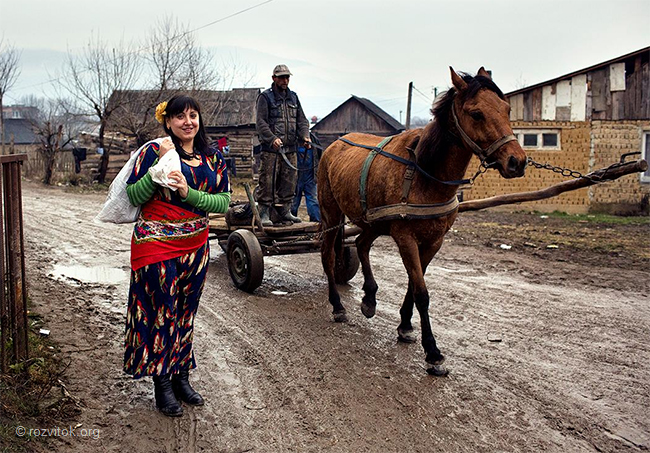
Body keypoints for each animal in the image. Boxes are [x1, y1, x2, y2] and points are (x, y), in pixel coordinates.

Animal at [316, 68, 528, 370]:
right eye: (476, 113)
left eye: (506, 109)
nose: (516, 161)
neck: (424, 174)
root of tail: (333, 144)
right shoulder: (406, 238)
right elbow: (422, 293)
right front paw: (432, 350)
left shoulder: (433, 241)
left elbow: (413, 285)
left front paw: (405, 325)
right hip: (331, 212)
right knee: (328, 255)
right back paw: (337, 305)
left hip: (374, 221)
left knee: (361, 244)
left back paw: (369, 297)